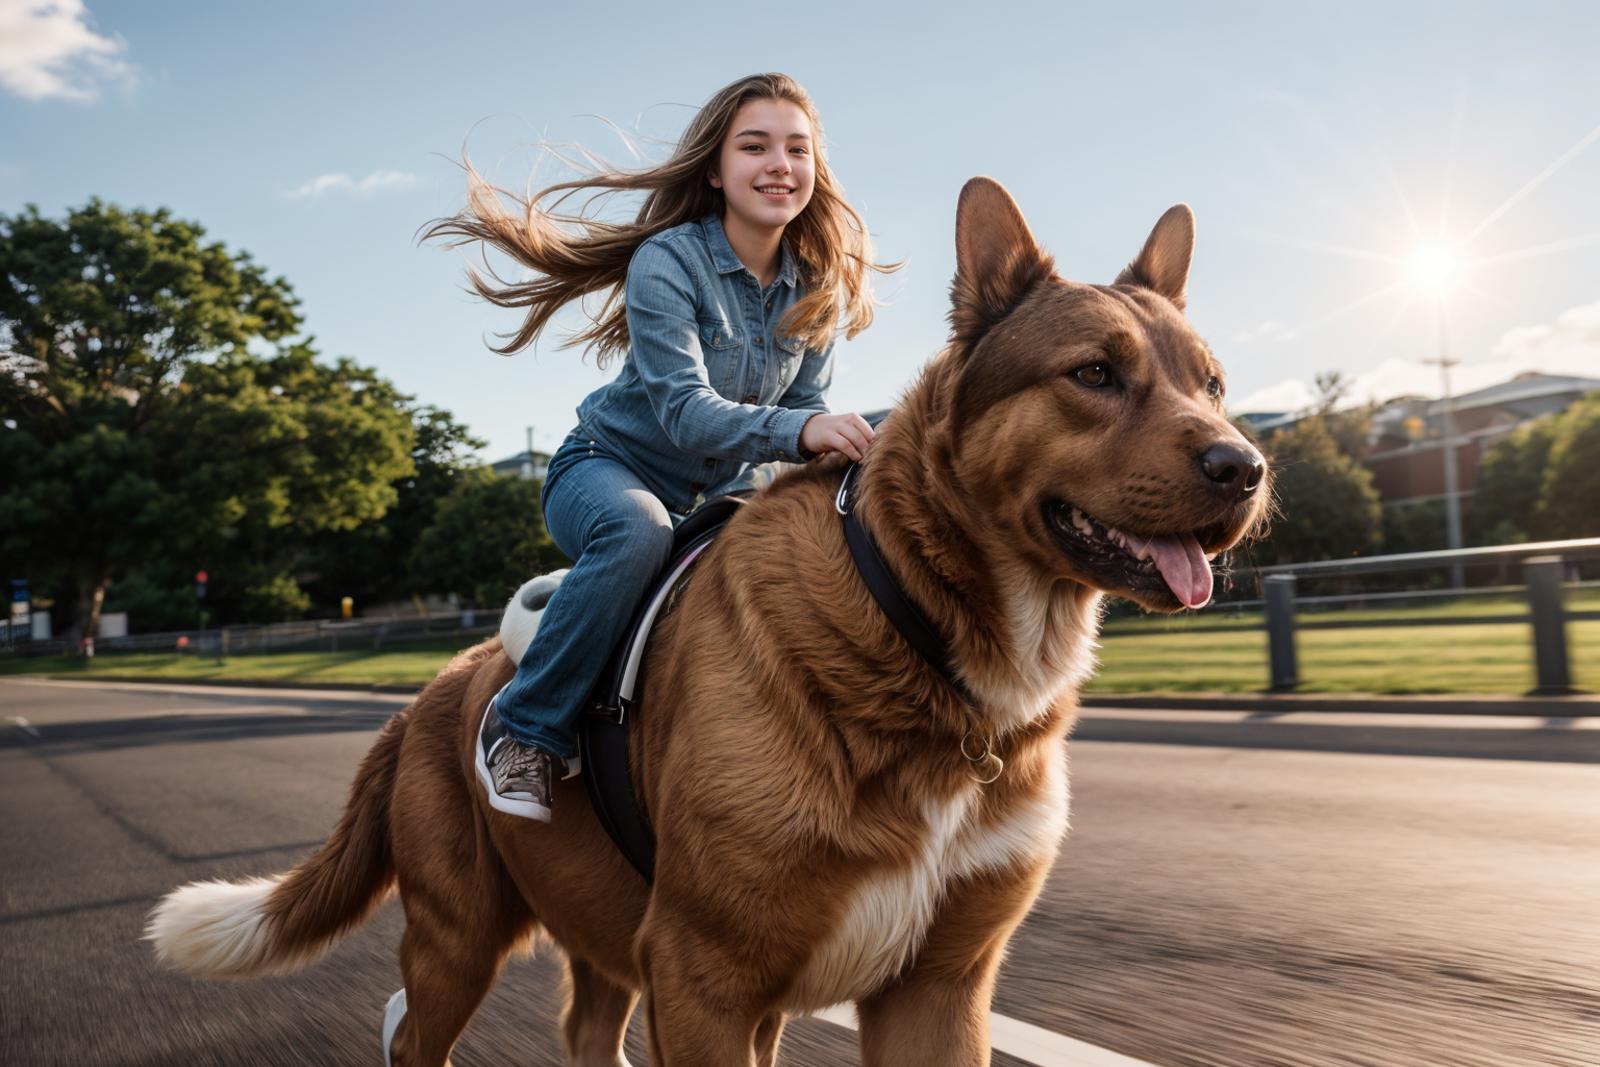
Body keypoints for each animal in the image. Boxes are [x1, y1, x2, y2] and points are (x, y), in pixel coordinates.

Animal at [152, 179, 1273, 1062]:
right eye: (1094, 372)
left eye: (1214, 384)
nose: (1247, 466)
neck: (914, 617)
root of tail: (424, 692)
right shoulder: (703, 976)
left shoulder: (935, 987)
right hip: (457, 935)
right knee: (412, 1028)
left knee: (582, 1031)